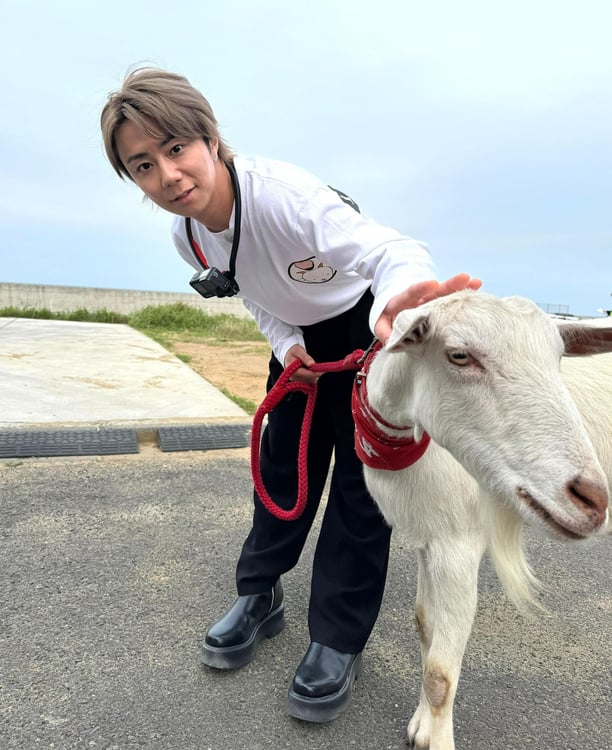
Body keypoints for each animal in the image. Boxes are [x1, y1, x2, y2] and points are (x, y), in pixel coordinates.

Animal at [360, 292, 608, 750]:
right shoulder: (429, 538)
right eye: (459, 355)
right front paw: (421, 726)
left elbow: (440, 675)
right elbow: (425, 627)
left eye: (558, 357)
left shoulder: (458, 544)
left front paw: (437, 739)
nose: (593, 500)